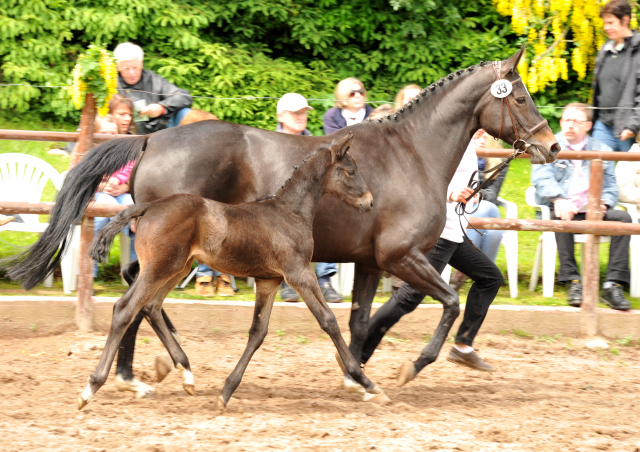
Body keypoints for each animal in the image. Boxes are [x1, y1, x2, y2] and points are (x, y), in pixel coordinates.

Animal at [80, 133, 390, 410]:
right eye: (351, 171)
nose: (369, 202)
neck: (289, 213)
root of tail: (148, 206)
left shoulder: (269, 280)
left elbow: (258, 332)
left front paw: (226, 392)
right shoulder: (298, 273)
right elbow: (328, 321)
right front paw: (366, 382)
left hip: (177, 269)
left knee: (151, 307)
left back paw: (186, 374)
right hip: (159, 268)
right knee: (125, 308)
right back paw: (91, 387)